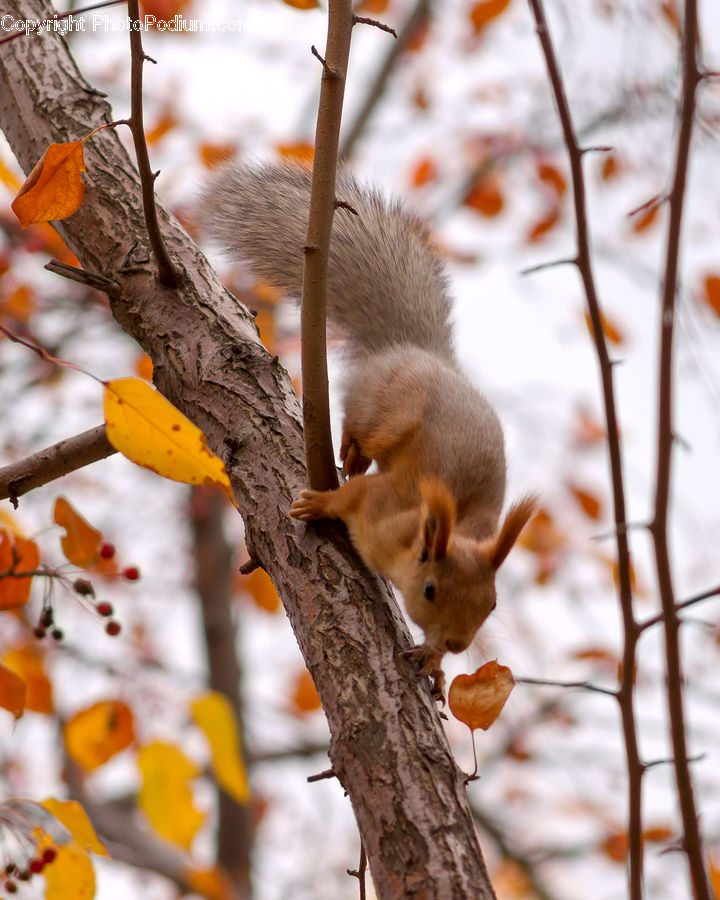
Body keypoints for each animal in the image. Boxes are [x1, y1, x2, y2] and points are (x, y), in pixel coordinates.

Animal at [203, 162, 536, 701]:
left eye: (491, 604)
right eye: (430, 589)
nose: (458, 643)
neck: (435, 527)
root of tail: (420, 352)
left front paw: (432, 660)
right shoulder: (379, 503)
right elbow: (350, 499)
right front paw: (318, 505)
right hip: (384, 410)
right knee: (362, 429)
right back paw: (352, 452)